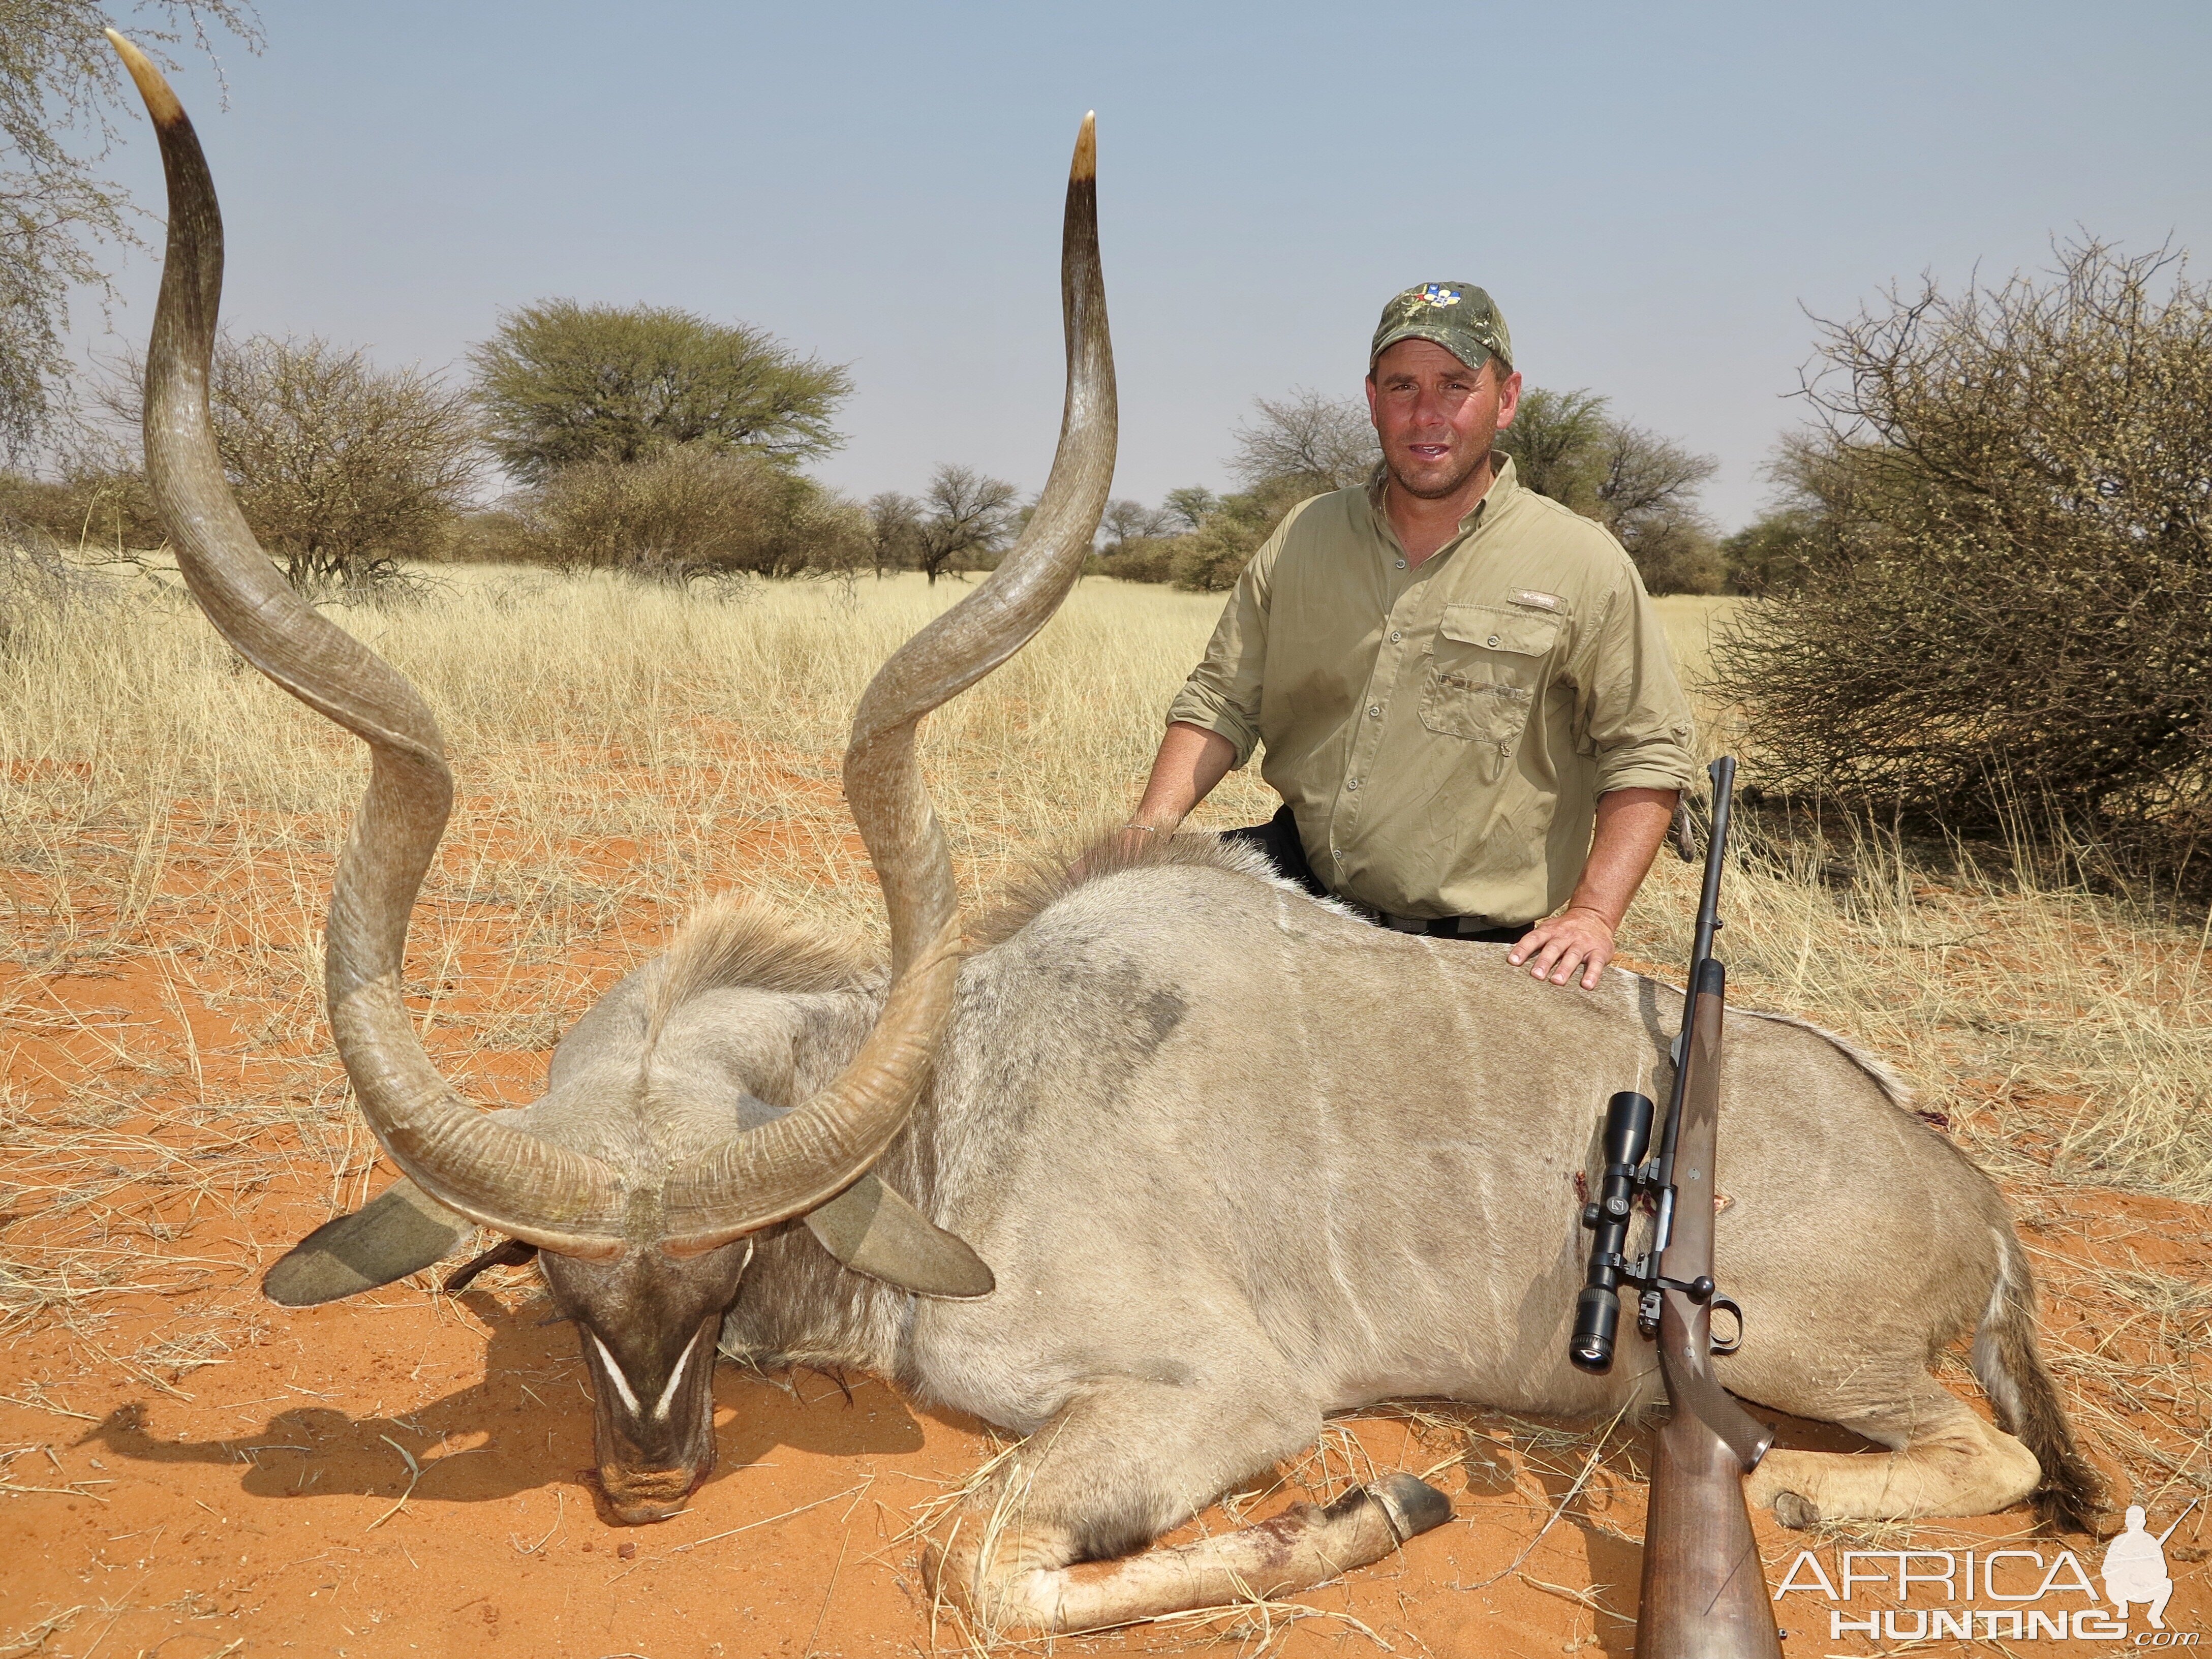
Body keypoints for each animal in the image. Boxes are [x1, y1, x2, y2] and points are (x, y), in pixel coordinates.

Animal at [116, 36, 2088, 1637]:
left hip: (1808, 1340)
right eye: (563, 1276)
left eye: (732, 1264)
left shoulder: (1223, 1393)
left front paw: (1383, 1500)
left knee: (1972, 1456)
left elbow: (975, 1555)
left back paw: (1800, 1484)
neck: (961, 1104)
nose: (651, 1475)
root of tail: (1968, 1199)